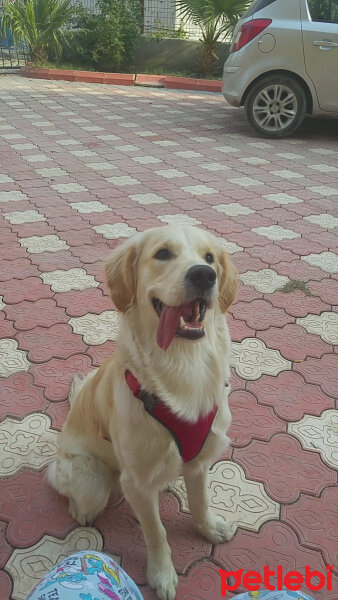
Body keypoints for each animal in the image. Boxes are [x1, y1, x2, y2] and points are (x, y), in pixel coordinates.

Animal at [47, 225, 238, 600]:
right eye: (163, 253)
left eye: (209, 258)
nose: (203, 275)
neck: (183, 366)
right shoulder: (137, 482)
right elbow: (156, 531)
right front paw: (161, 574)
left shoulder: (199, 461)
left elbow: (201, 502)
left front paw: (208, 529)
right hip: (92, 481)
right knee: (79, 497)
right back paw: (81, 513)